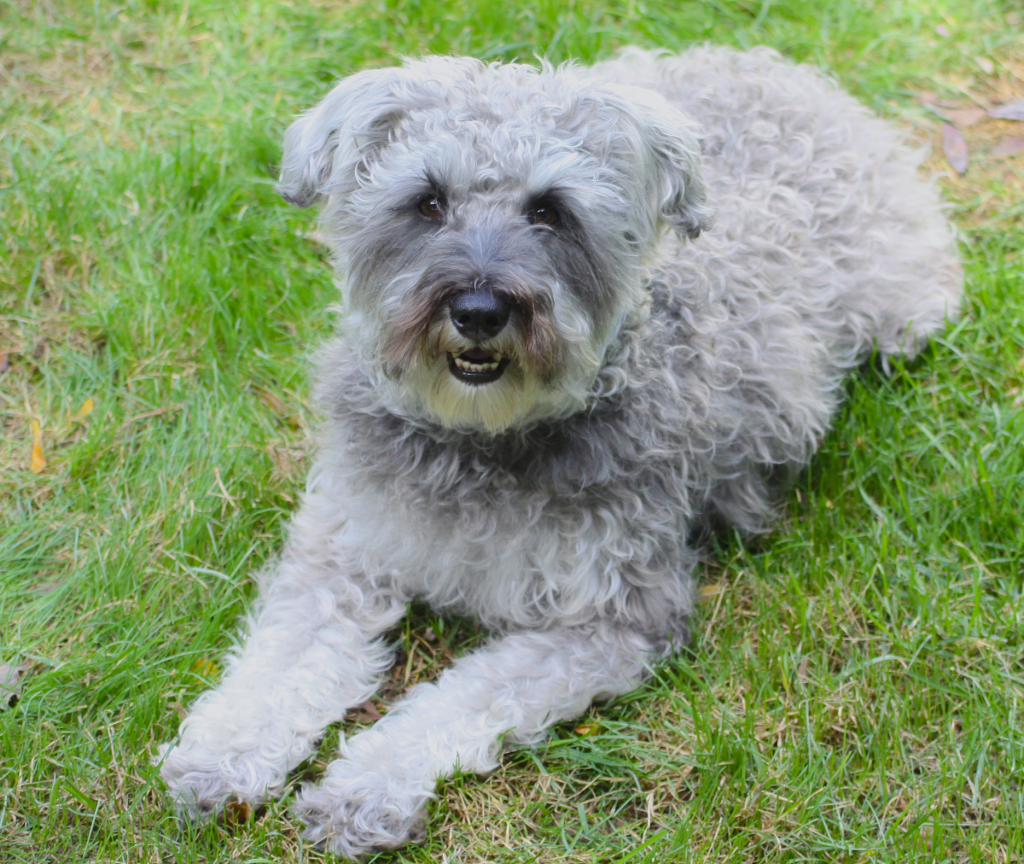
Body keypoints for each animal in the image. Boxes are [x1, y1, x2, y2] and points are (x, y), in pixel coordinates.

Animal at [155, 43, 962, 855]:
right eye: (427, 201)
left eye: (550, 210)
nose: (479, 311)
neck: (478, 443)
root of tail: (788, 76)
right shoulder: (341, 557)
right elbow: (280, 661)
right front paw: (224, 752)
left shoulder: (608, 618)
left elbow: (459, 699)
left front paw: (365, 788)